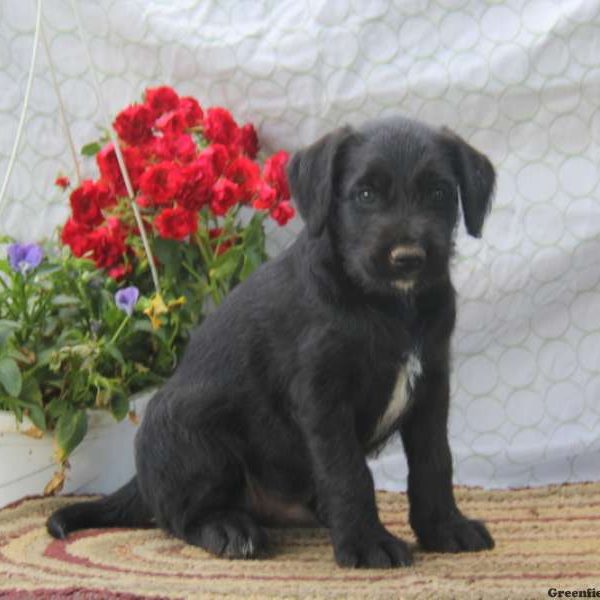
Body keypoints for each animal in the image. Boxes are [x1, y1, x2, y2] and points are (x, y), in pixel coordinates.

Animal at [48, 116, 496, 568]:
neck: (389, 306)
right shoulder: (323, 398)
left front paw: (444, 527)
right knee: (178, 517)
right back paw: (229, 529)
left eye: (439, 193)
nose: (408, 258)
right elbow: (349, 473)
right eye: (365, 194)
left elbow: (435, 462)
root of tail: (139, 480)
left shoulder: (431, 388)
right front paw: (367, 543)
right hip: (186, 427)